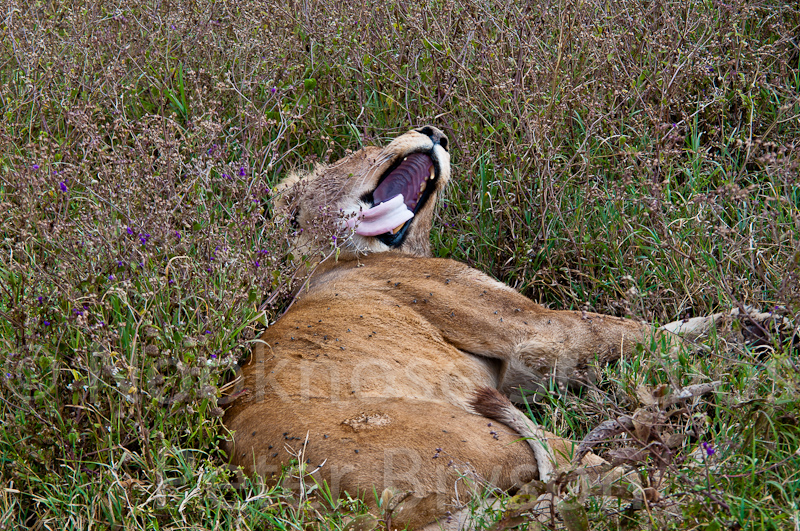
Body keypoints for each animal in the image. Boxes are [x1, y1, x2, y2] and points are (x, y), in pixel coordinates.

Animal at [223, 127, 780, 528]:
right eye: (363, 148)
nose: (434, 131)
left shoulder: (519, 374)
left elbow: (661, 330)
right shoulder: (532, 336)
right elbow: (642, 334)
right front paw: (757, 336)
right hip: (486, 435)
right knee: (608, 482)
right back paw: (704, 479)